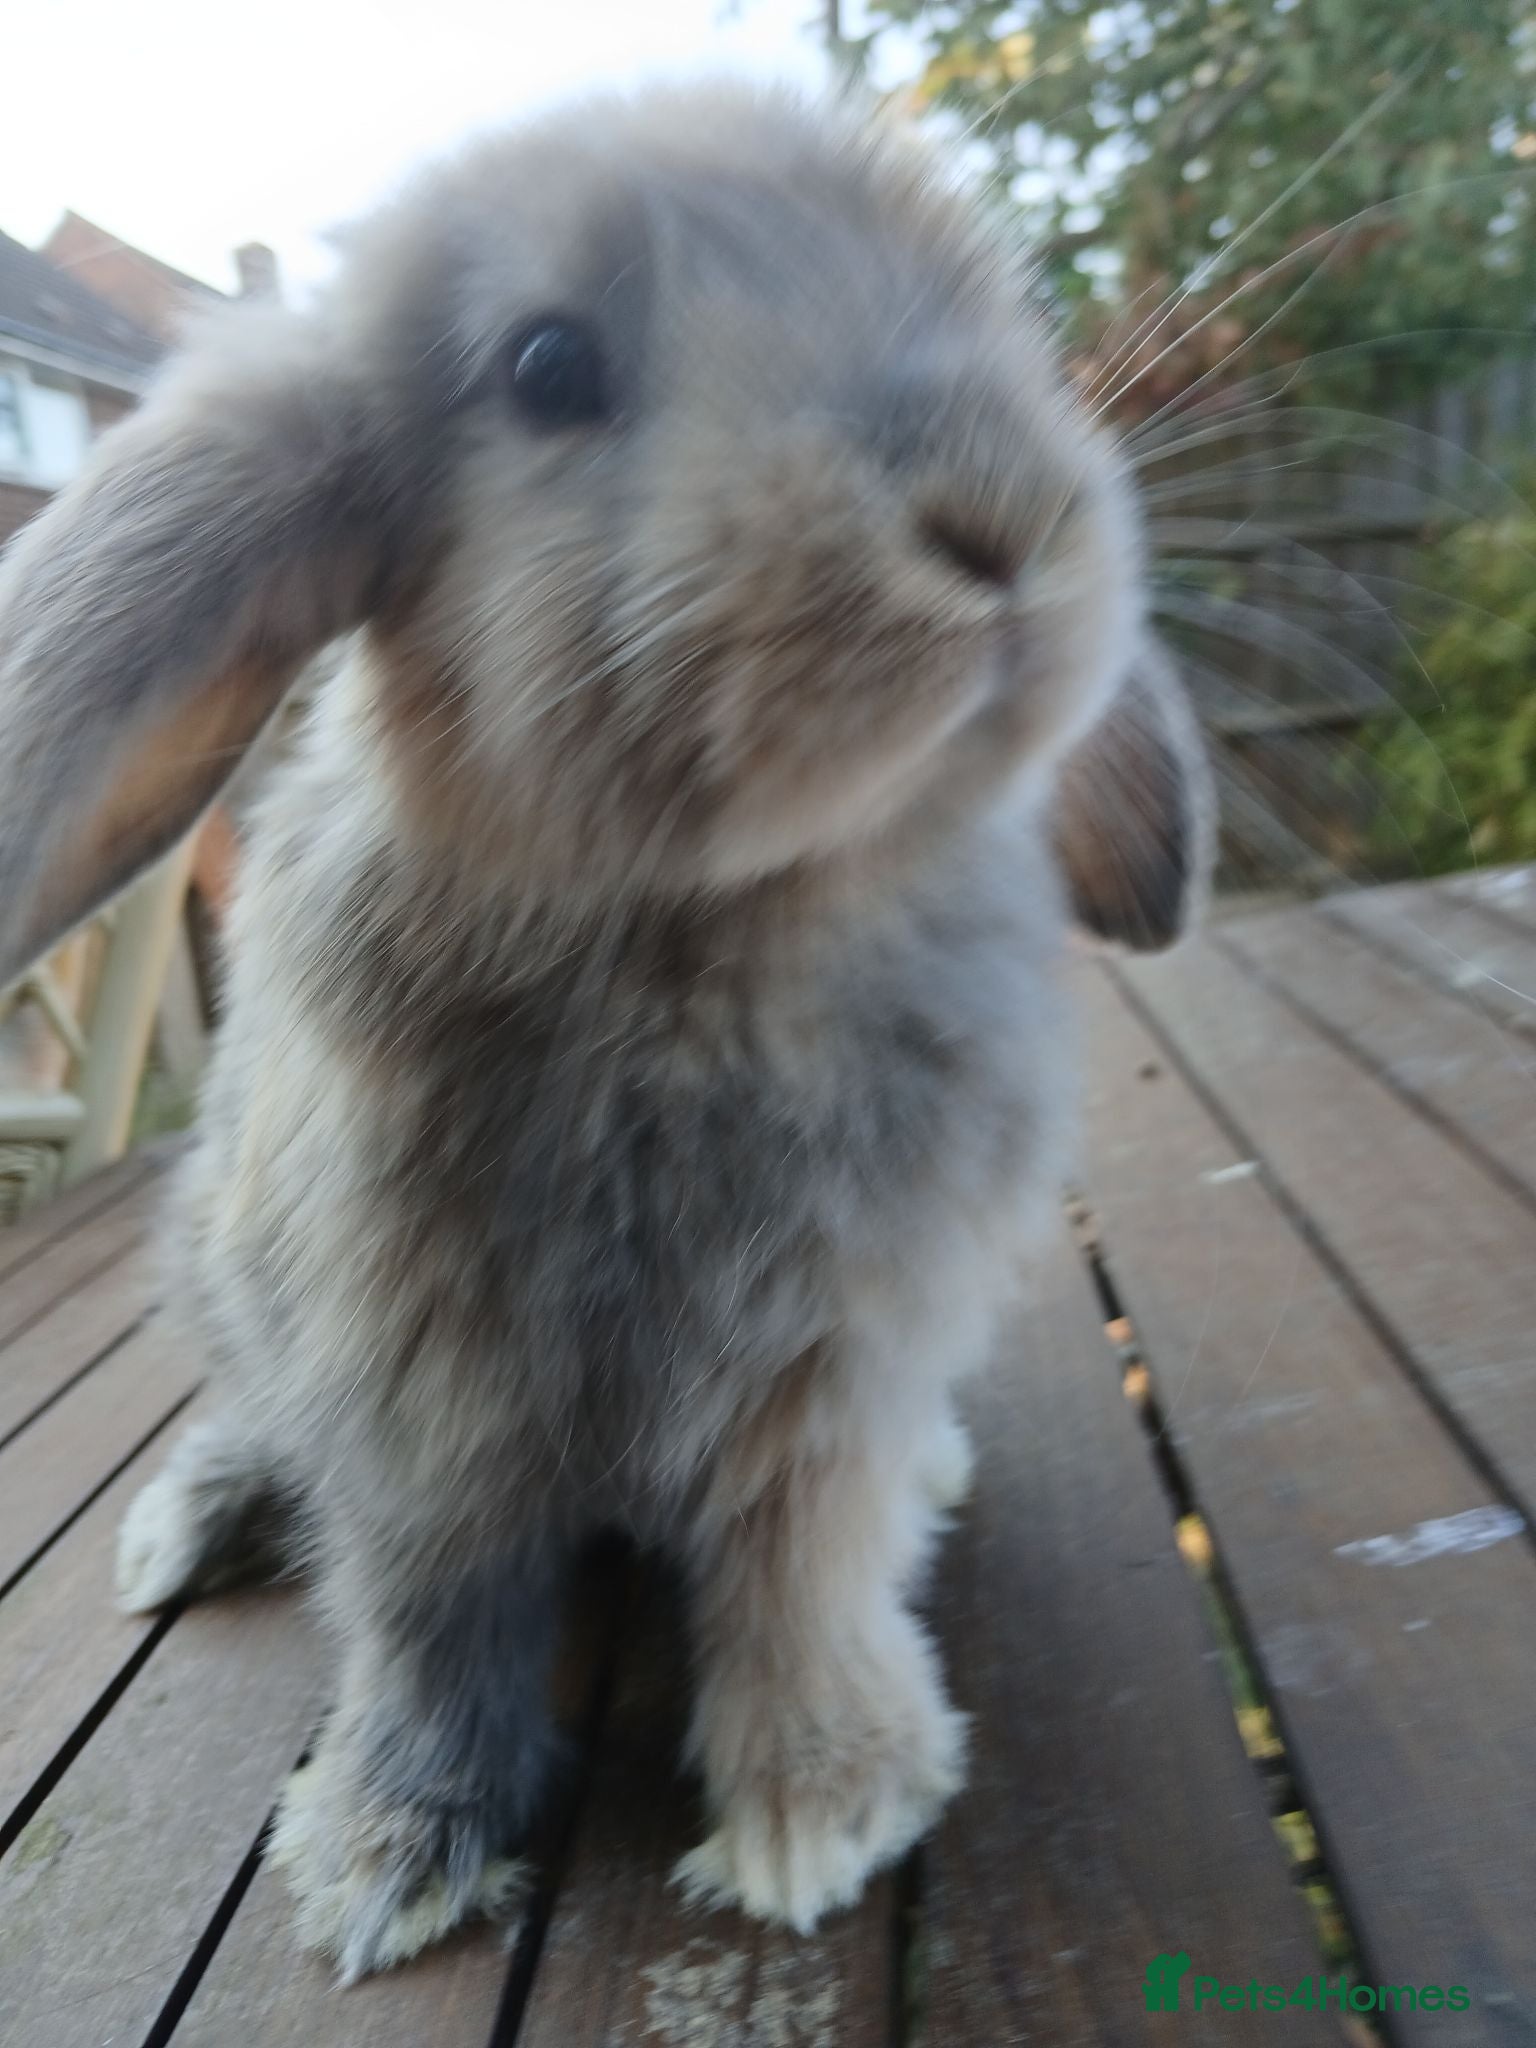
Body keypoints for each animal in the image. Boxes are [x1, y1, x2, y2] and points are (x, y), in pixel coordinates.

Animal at [0, 84, 1212, 1980]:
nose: (1000, 515)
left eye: (989, 306)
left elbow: (803, 1574)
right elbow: (431, 1618)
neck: (709, 937)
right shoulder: (416, 1403)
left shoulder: (830, 1376)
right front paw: (384, 1861)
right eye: (548, 365)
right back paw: (192, 1520)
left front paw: (821, 1814)